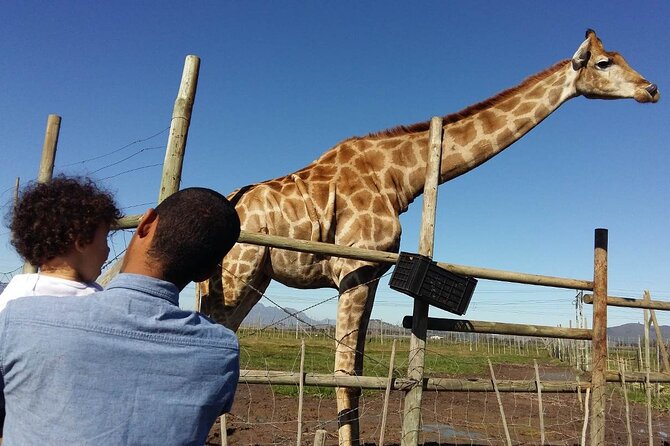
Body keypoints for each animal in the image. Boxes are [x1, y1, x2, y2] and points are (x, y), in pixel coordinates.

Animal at [199, 30, 659, 445]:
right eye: (605, 63)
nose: (650, 89)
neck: (403, 177)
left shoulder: (372, 274)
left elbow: (359, 373)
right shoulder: (355, 268)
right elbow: (345, 376)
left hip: (251, 279)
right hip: (238, 271)